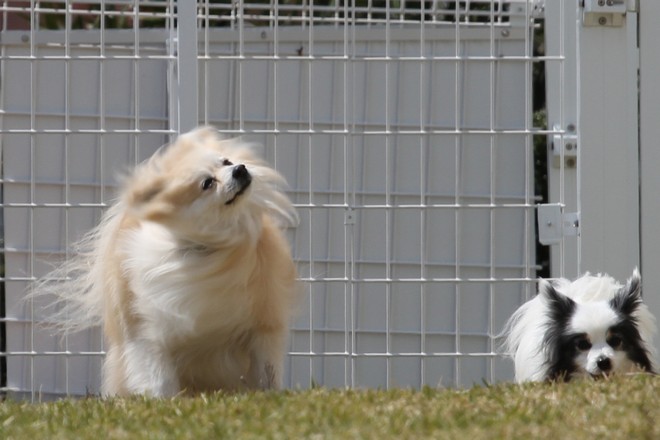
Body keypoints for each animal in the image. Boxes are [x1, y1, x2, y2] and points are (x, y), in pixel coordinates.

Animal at [37, 126, 300, 396]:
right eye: (207, 183)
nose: (240, 168)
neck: (206, 249)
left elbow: (266, 369)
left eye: (226, 162)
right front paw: (164, 399)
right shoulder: (147, 329)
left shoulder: (263, 323)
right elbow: (158, 374)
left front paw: (268, 394)